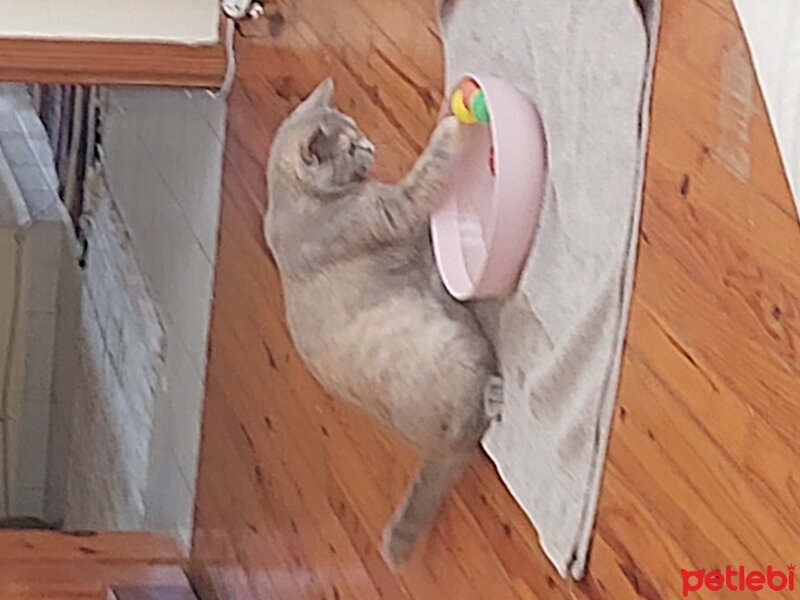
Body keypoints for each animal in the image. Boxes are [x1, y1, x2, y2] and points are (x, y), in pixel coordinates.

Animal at [266, 81, 496, 568]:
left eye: (357, 131)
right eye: (350, 146)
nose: (370, 146)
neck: (298, 202)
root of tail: (434, 449)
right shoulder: (389, 210)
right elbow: (427, 172)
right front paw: (451, 123)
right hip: (454, 352)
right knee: (474, 423)